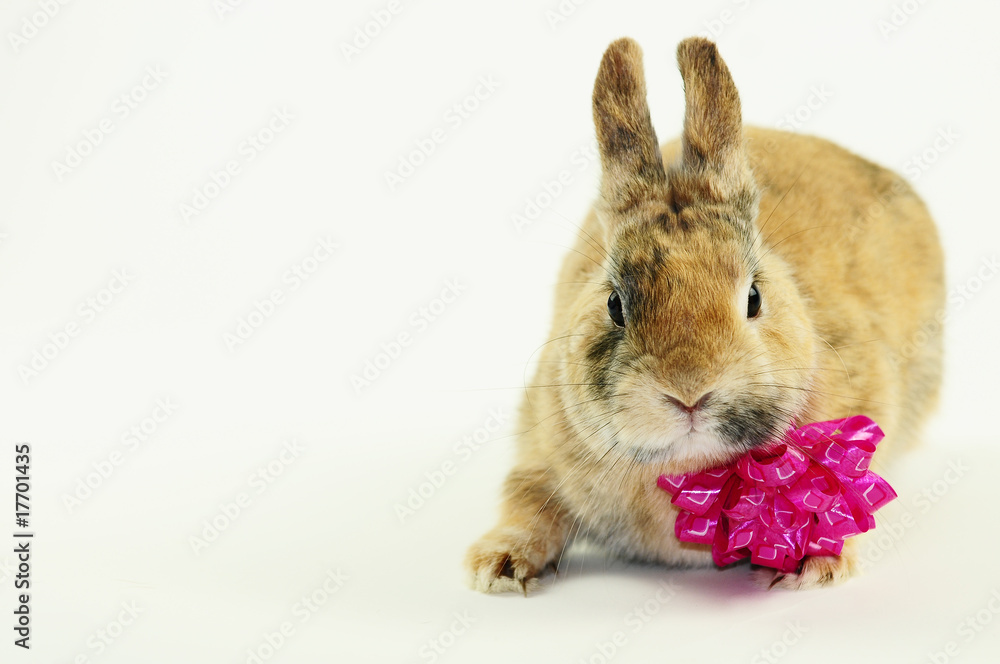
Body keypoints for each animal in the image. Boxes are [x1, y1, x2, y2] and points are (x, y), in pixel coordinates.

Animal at [465, 36, 944, 592]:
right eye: (614, 304)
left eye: (753, 297)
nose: (689, 391)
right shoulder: (538, 443)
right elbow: (526, 499)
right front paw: (496, 565)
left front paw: (816, 566)